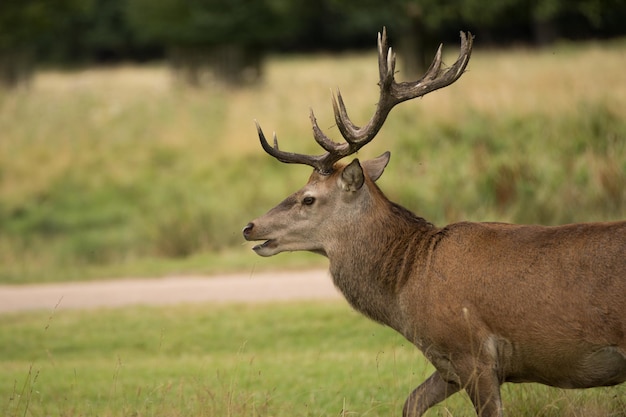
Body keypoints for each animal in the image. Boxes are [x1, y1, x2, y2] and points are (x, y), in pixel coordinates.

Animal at [240, 27, 624, 414]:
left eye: (308, 198)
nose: (250, 227)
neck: (409, 282)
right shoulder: (447, 364)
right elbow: (411, 402)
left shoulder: (472, 352)